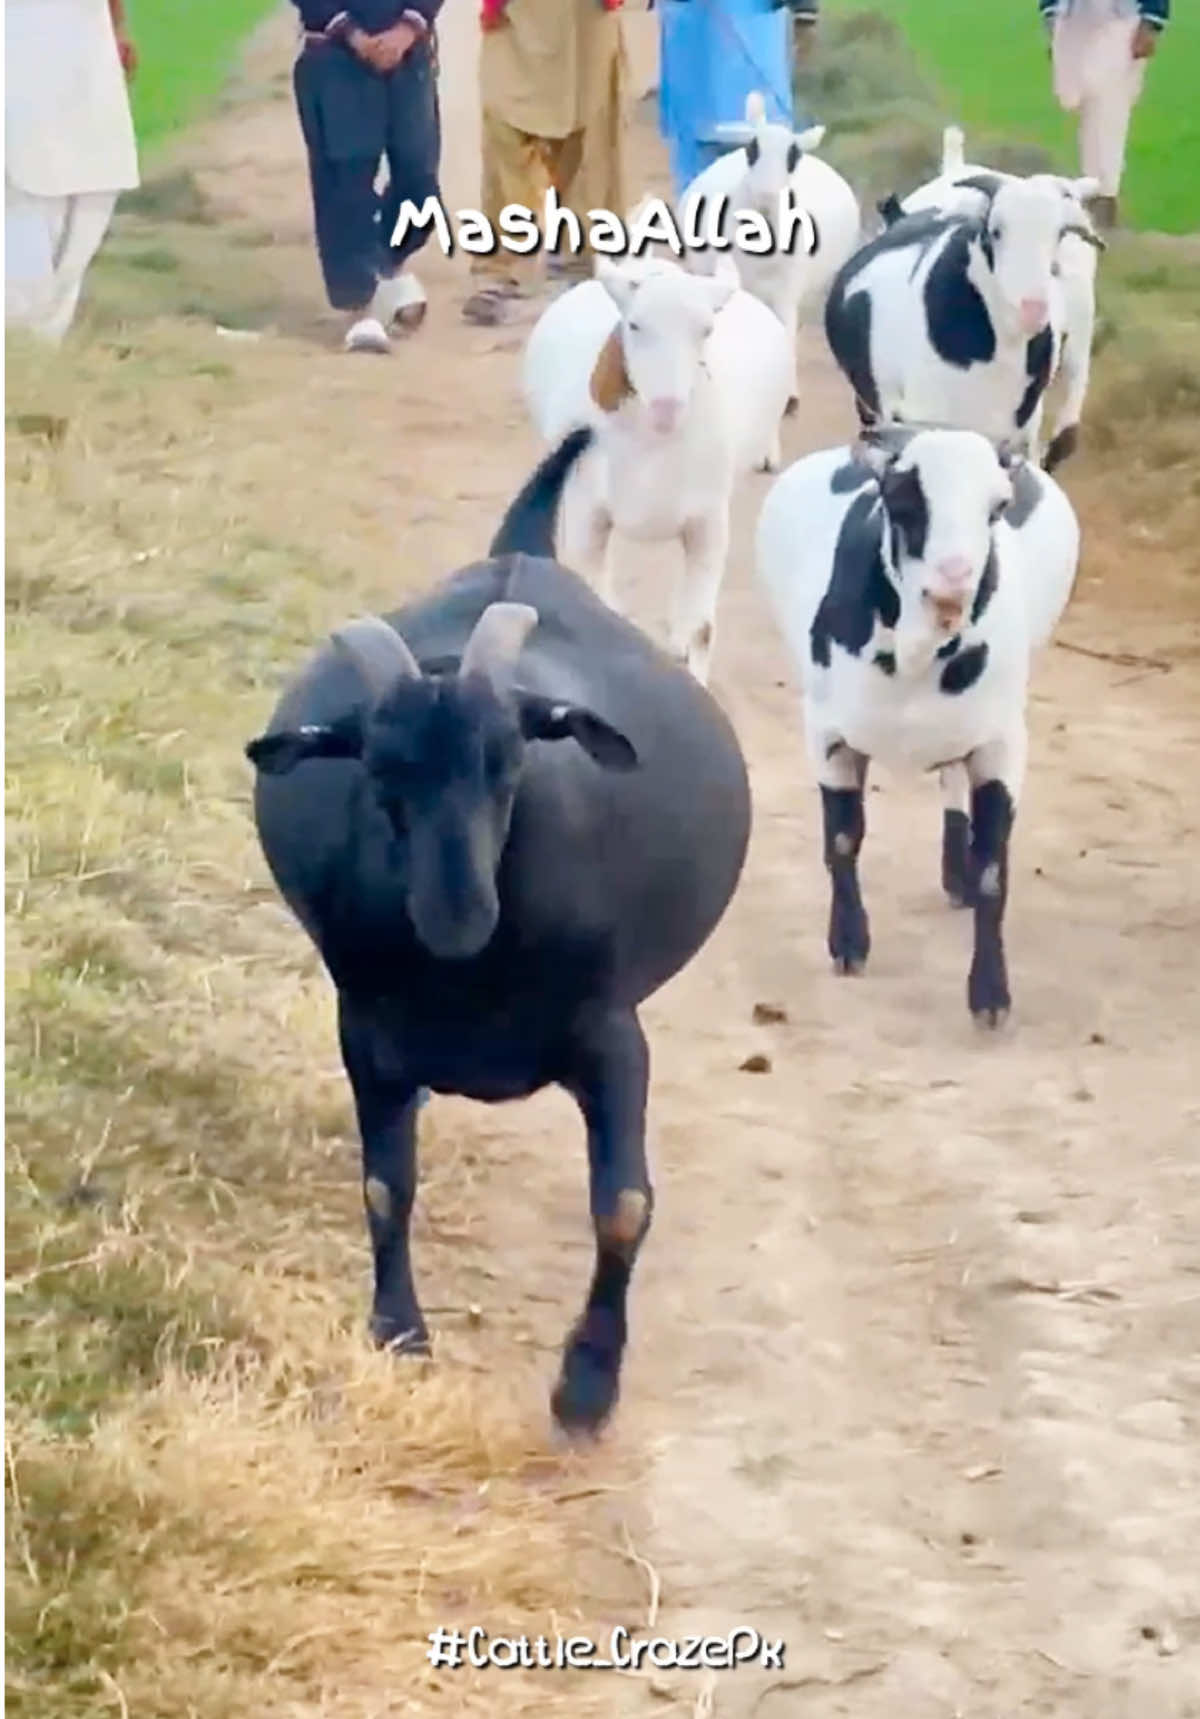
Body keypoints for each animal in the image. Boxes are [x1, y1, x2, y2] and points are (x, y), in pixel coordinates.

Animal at [519, 254, 790, 684]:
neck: (653, 448)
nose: (667, 408)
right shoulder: (586, 512)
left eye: (706, 330)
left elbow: (700, 628)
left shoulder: (708, 522)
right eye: (634, 325)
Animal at [756, 426, 1072, 1017]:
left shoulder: (1001, 744)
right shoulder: (827, 736)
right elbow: (842, 841)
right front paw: (849, 942)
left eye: (997, 507)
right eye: (901, 499)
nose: (955, 578)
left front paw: (990, 993)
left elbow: (994, 873)